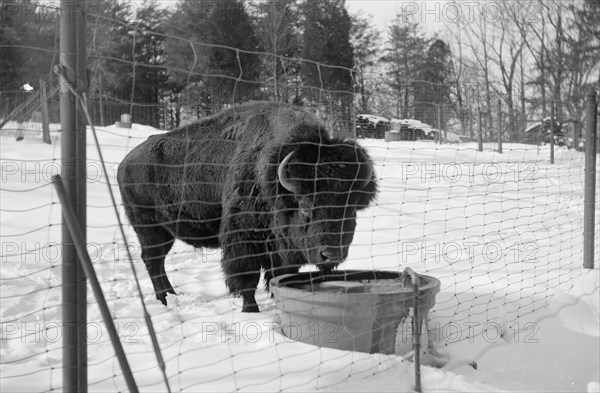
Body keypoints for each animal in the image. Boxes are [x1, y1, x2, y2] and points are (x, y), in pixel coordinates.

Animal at [117, 100, 378, 310]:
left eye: (350, 208)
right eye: (304, 205)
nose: (331, 254)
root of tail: (125, 163)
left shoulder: (279, 248)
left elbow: (278, 274)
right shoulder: (243, 239)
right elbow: (246, 275)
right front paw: (250, 308)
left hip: (164, 232)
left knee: (158, 261)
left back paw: (172, 295)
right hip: (149, 229)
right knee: (153, 261)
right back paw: (164, 299)